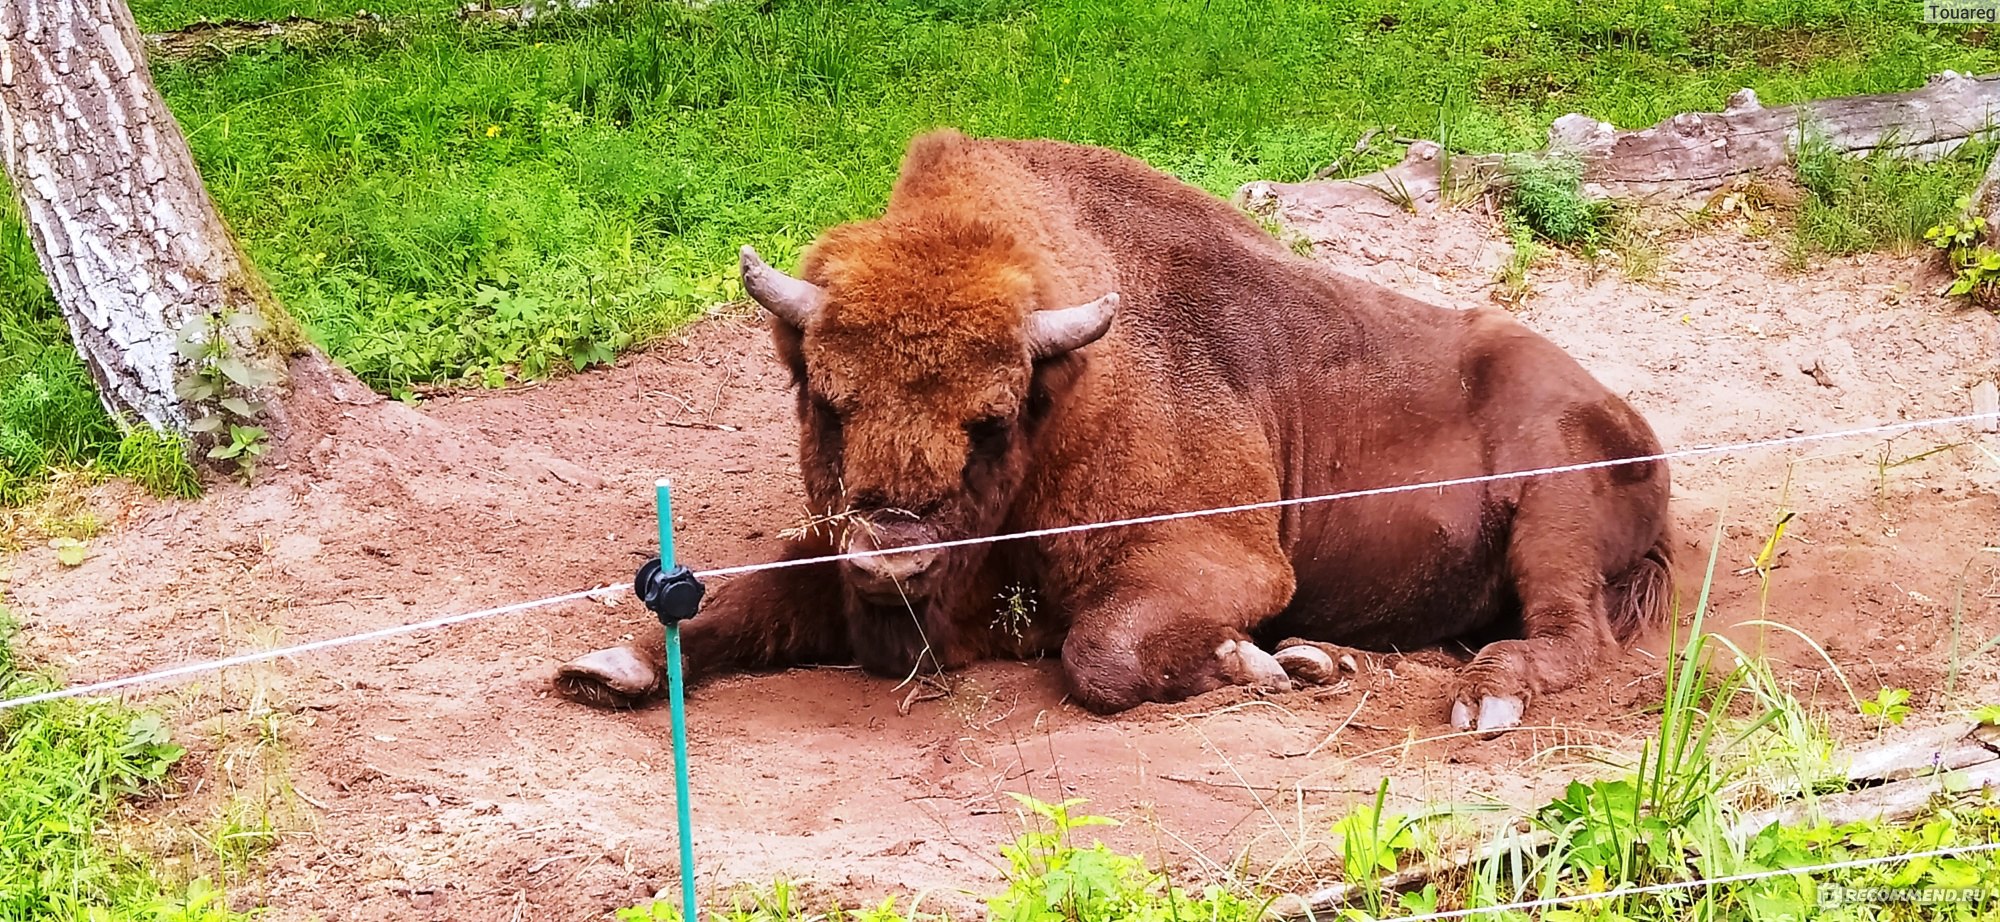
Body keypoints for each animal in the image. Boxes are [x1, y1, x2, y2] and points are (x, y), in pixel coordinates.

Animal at [560, 131, 1672, 732]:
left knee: (1566, 632)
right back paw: (1330, 658)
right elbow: (738, 594)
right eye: (827, 401)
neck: (1066, 400)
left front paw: (1252, 665)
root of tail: (1633, 425)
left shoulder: (1223, 561)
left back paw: (1479, 698)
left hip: (1555, 519)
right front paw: (609, 668)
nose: (892, 559)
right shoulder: (833, 551)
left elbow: (1100, 651)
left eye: (990, 418)